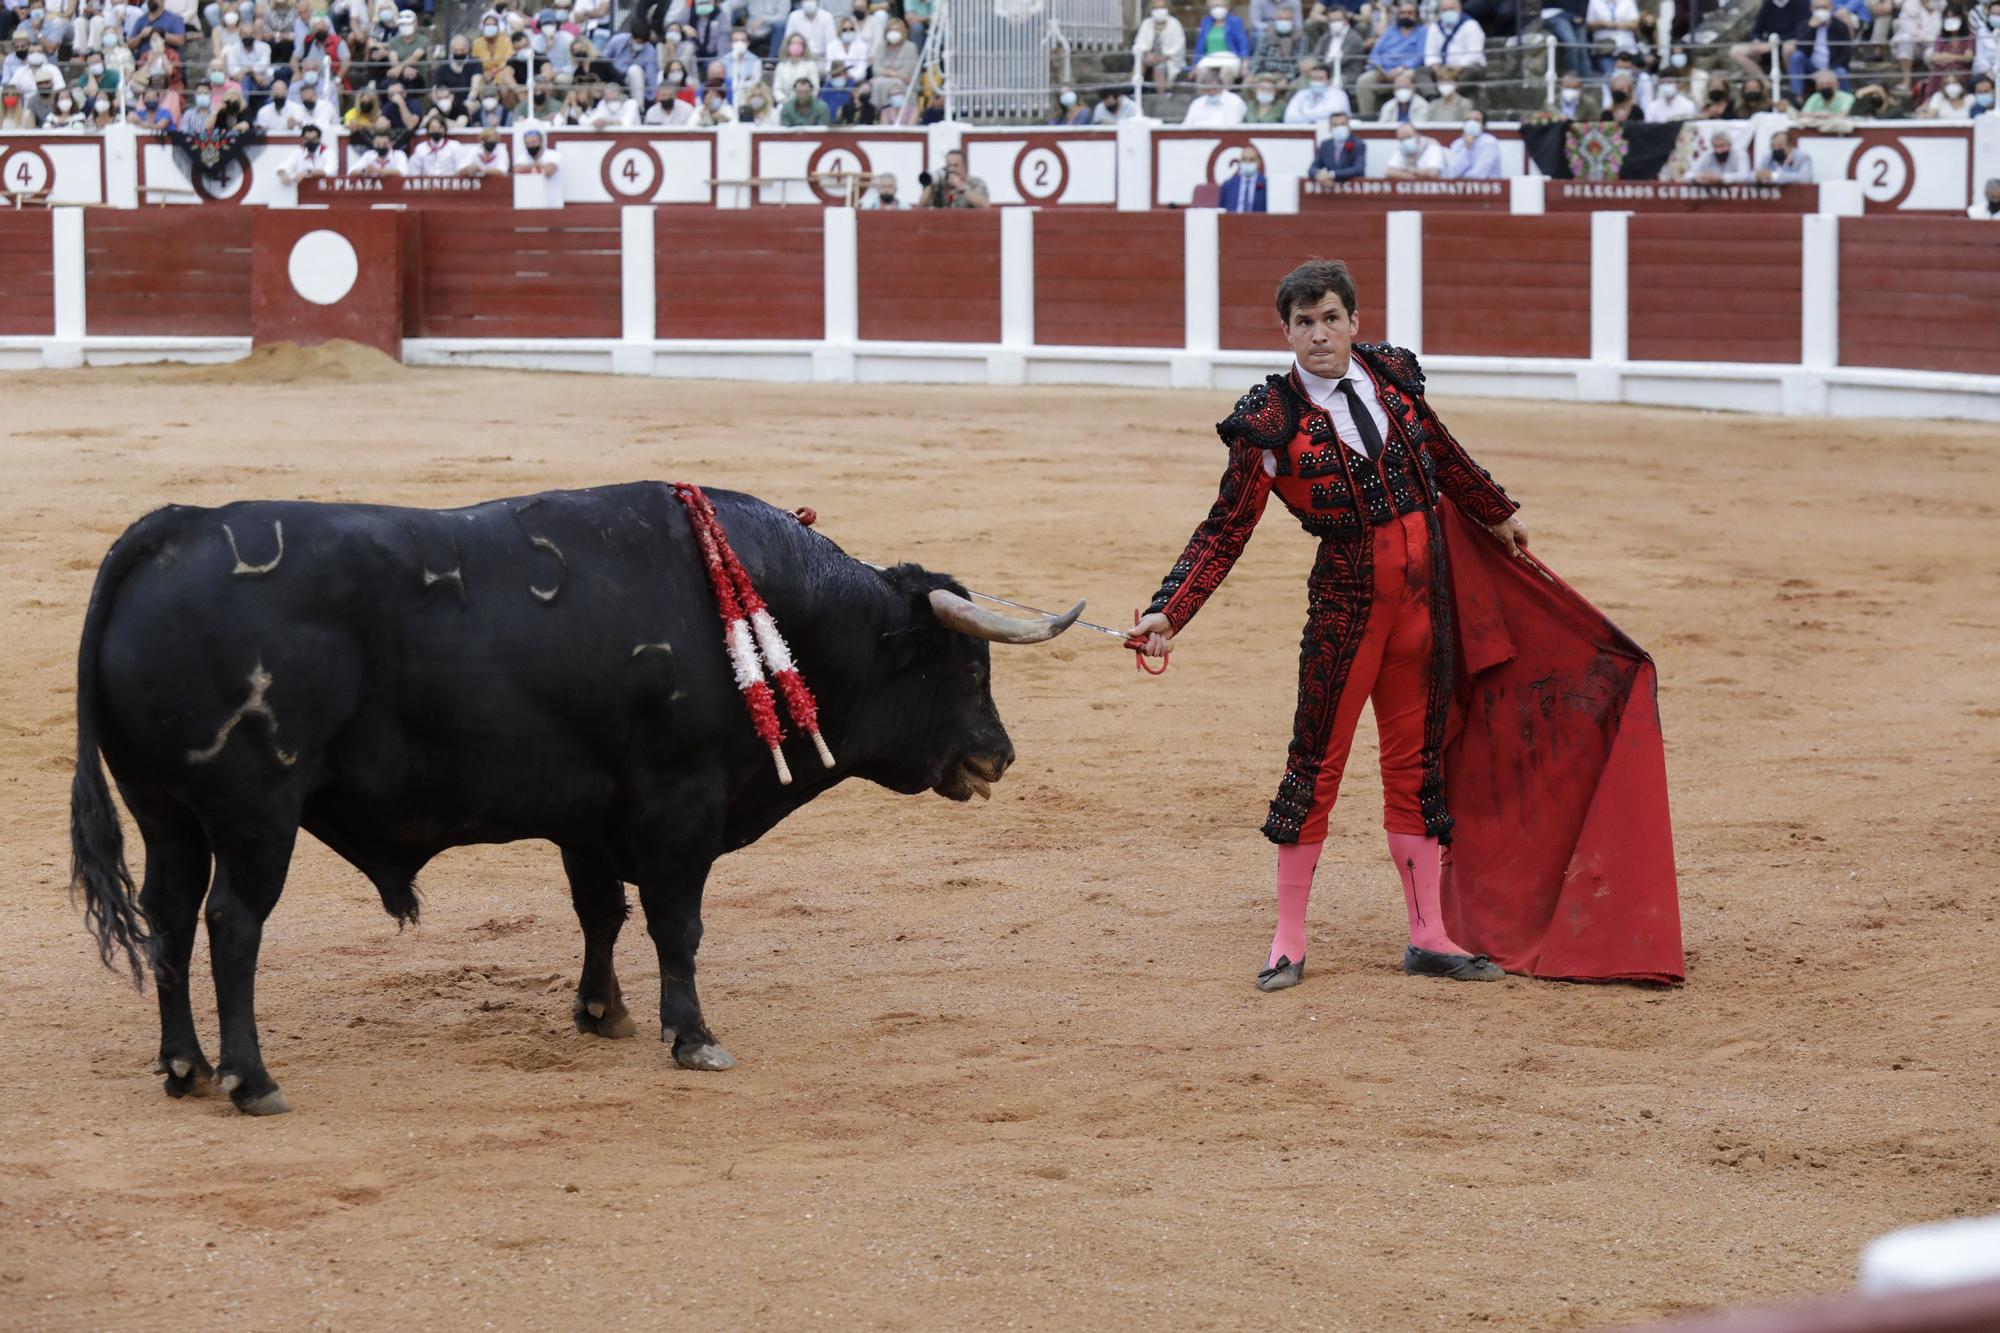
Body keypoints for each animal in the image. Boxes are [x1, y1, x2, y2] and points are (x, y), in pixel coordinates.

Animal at [70, 482, 1080, 1104]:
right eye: (964, 663)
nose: (998, 756)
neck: (775, 610)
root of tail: (171, 529)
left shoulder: (590, 817)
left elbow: (601, 912)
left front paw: (604, 1013)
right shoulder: (680, 806)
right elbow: (677, 921)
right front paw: (693, 1034)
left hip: (167, 813)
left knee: (168, 915)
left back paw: (185, 1066)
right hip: (255, 816)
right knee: (232, 924)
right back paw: (252, 1079)